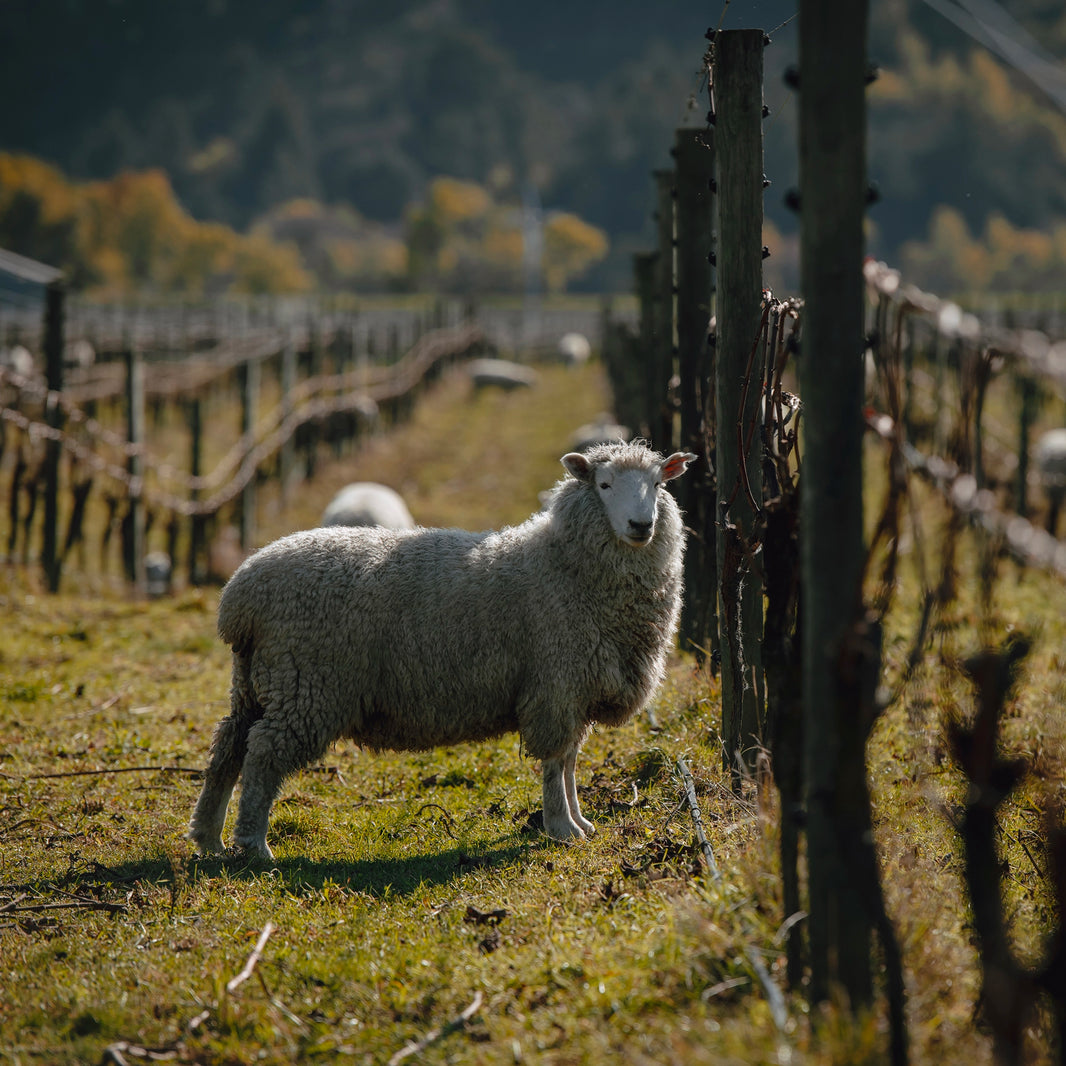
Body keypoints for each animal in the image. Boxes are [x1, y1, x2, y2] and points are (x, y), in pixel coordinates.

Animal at [187, 439, 695, 857]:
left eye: (656, 484)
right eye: (604, 484)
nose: (641, 524)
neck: (565, 564)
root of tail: (241, 594)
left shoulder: (576, 686)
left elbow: (570, 760)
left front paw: (580, 822)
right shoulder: (555, 681)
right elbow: (555, 762)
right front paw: (561, 828)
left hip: (259, 681)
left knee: (229, 746)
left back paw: (209, 837)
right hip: (306, 684)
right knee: (263, 754)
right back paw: (254, 846)